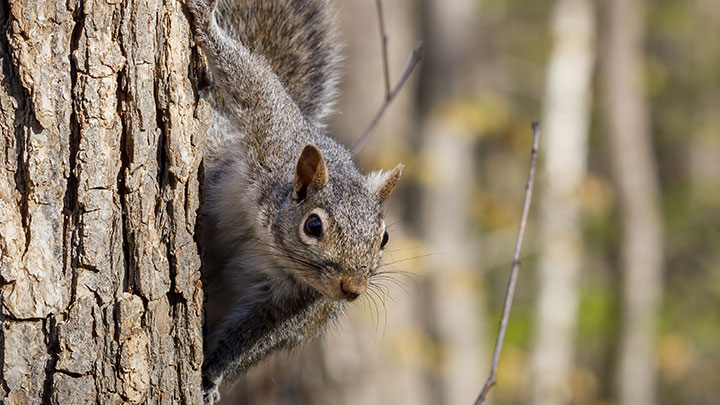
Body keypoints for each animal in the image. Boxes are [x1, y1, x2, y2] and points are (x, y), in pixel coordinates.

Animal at [184, 0, 404, 400]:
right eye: (313, 226)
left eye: (384, 238)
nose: (353, 290)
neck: (269, 244)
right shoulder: (273, 132)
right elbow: (253, 80)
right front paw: (206, 23)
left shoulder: (294, 303)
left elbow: (253, 339)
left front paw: (210, 377)